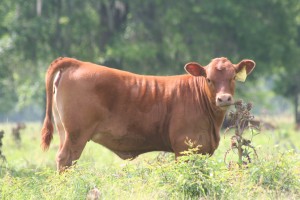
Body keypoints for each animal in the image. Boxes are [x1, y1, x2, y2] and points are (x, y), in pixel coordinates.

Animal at [40, 57, 255, 171]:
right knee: (66, 160)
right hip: (77, 134)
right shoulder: (184, 148)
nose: (224, 98)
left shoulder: (201, 149)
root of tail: (78, 63)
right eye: (209, 79)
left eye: (233, 77)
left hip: (64, 131)